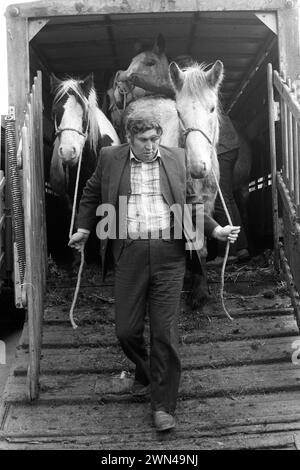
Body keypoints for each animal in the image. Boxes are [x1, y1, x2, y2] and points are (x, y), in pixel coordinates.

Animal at [47, 73, 120, 264]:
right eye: (55, 112)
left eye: (84, 113)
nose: (67, 152)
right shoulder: (71, 198)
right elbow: (77, 222)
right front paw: (79, 258)